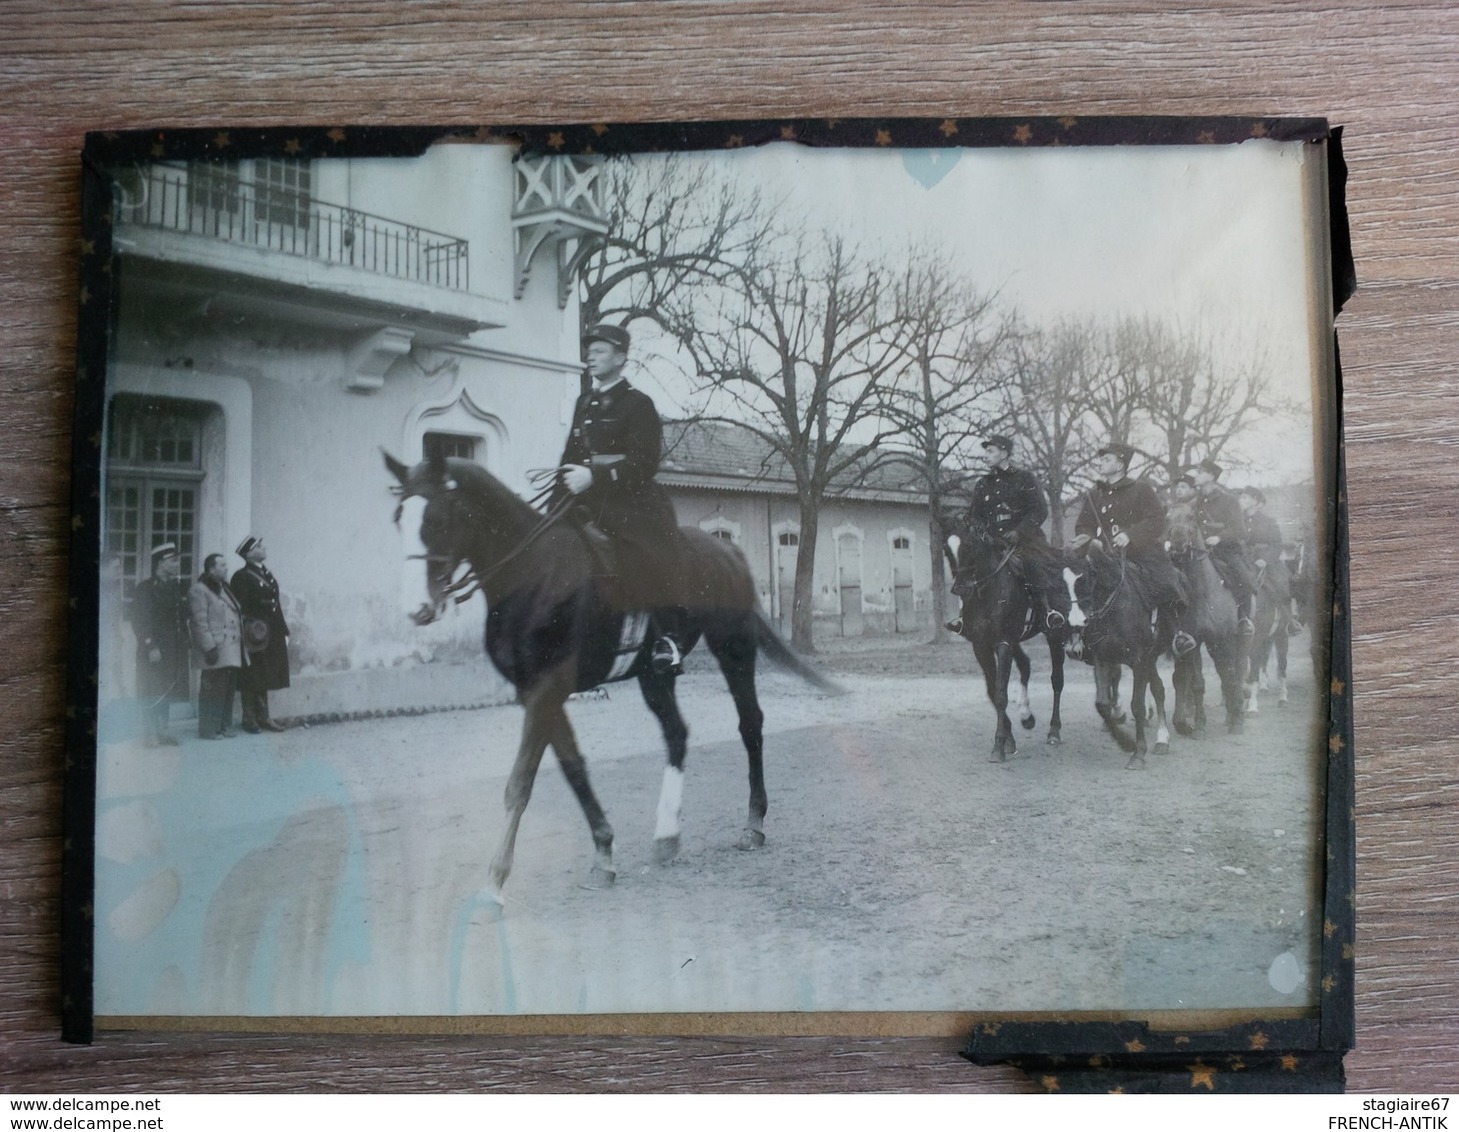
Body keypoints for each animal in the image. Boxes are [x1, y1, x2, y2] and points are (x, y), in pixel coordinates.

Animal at [382, 452, 840, 904]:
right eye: (399, 517)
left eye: (438, 519)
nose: (417, 609)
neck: (532, 573)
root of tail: (728, 550)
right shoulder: (538, 692)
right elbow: (574, 768)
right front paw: (603, 853)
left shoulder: (547, 689)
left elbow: (520, 783)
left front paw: (494, 882)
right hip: (654, 675)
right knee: (677, 733)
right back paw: (667, 835)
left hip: (734, 649)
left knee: (750, 724)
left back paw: (753, 824)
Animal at [945, 528, 1062, 758]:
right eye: (946, 550)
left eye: (968, 547)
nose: (959, 589)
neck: (988, 592)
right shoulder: (981, 646)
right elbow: (992, 691)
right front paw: (1009, 739)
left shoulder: (1004, 643)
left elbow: (1000, 693)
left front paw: (999, 744)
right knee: (1025, 665)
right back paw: (1027, 716)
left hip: (1055, 636)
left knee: (1057, 680)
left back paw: (1054, 731)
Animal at [1073, 542, 1173, 770]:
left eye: (1091, 573)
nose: (1077, 622)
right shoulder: (1102, 658)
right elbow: (1102, 703)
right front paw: (1124, 741)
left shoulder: (1139, 661)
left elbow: (1137, 705)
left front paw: (1138, 753)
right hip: (1149, 659)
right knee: (1158, 688)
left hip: (1153, 656)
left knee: (1160, 689)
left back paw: (1164, 738)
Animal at [1167, 501, 1248, 735]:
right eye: (1167, 518)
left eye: (1191, 516)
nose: (1178, 542)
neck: (1202, 593)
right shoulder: (1193, 642)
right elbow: (1197, 683)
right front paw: (1199, 725)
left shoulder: (1223, 639)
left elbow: (1230, 675)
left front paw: (1237, 720)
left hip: (1237, 639)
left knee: (1235, 671)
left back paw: (1236, 713)